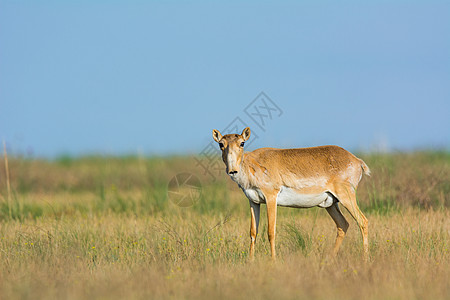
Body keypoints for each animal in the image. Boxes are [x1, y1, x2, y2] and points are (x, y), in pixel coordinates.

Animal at [213, 126, 370, 260]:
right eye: (221, 144)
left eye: (242, 143)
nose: (232, 170)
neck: (252, 164)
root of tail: (357, 160)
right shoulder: (254, 202)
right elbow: (253, 232)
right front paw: (250, 261)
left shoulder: (271, 198)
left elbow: (271, 232)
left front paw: (273, 261)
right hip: (330, 204)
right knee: (343, 224)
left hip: (346, 197)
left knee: (362, 221)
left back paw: (365, 259)